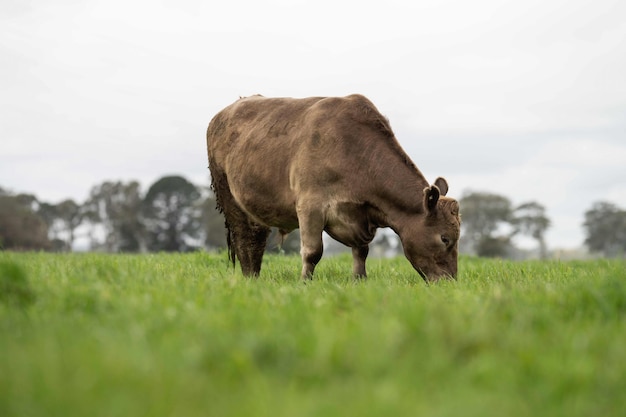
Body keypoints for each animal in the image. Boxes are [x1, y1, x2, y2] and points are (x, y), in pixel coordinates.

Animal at [205, 95, 458, 280]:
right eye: (444, 238)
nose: (450, 282)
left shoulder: (360, 218)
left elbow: (362, 252)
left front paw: (359, 280)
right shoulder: (309, 206)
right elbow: (313, 252)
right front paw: (304, 283)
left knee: (255, 239)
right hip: (228, 196)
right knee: (245, 240)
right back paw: (250, 278)